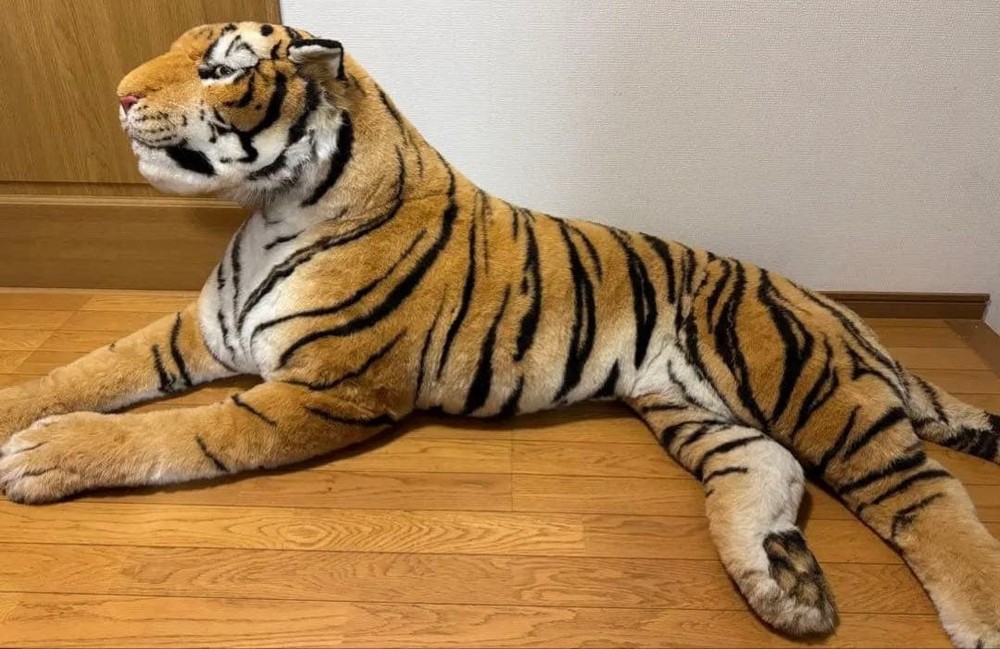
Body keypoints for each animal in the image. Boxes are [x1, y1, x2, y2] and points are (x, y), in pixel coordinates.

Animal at [0, 21, 997, 647]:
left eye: (220, 69)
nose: (118, 95)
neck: (272, 210)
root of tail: (836, 304)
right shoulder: (203, 333)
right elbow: (91, 366)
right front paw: (21, 406)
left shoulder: (326, 391)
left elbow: (181, 431)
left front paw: (44, 454)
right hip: (700, 414)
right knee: (768, 470)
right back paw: (785, 585)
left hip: (806, 382)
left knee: (926, 494)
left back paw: (975, 613)